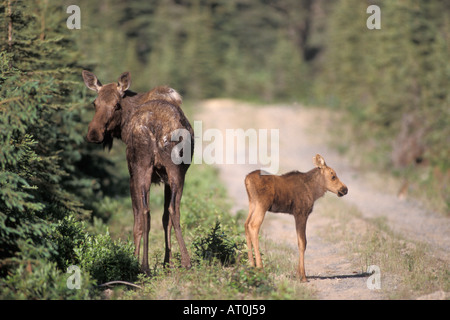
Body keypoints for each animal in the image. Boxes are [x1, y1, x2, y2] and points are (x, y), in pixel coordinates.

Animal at [82, 70, 193, 272]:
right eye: (94, 103)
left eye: (116, 105)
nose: (94, 133)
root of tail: (153, 127)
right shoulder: (163, 178)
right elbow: (164, 218)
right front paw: (166, 262)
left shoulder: (133, 175)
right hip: (167, 170)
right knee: (162, 211)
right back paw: (163, 263)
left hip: (147, 169)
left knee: (148, 213)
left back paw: (147, 264)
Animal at [246, 154, 348, 282]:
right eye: (333, 176)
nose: (345, 189)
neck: (314, 191)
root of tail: (247, 179)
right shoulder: (301, 213)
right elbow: (302, 243)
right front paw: (303, 276)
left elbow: (301, 242)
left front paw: (299, 274)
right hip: (262, 204)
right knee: (253, 225)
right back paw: (259, 267)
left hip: (252, 203)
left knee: (246, 224)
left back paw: (251, 265)